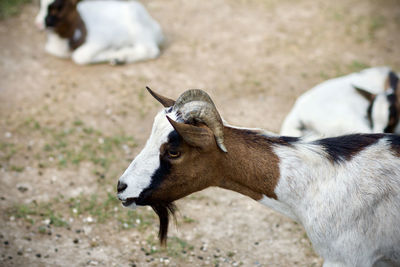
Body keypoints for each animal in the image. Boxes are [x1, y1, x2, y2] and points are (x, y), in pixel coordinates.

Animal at [35, 0, 163, 64]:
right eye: (40, 6)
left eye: (57, 8)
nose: (38, 24)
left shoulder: (100, 40)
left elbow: (80, 56)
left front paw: (112, 52)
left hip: (138, 29)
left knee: (150, 50)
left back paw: (119, 57)